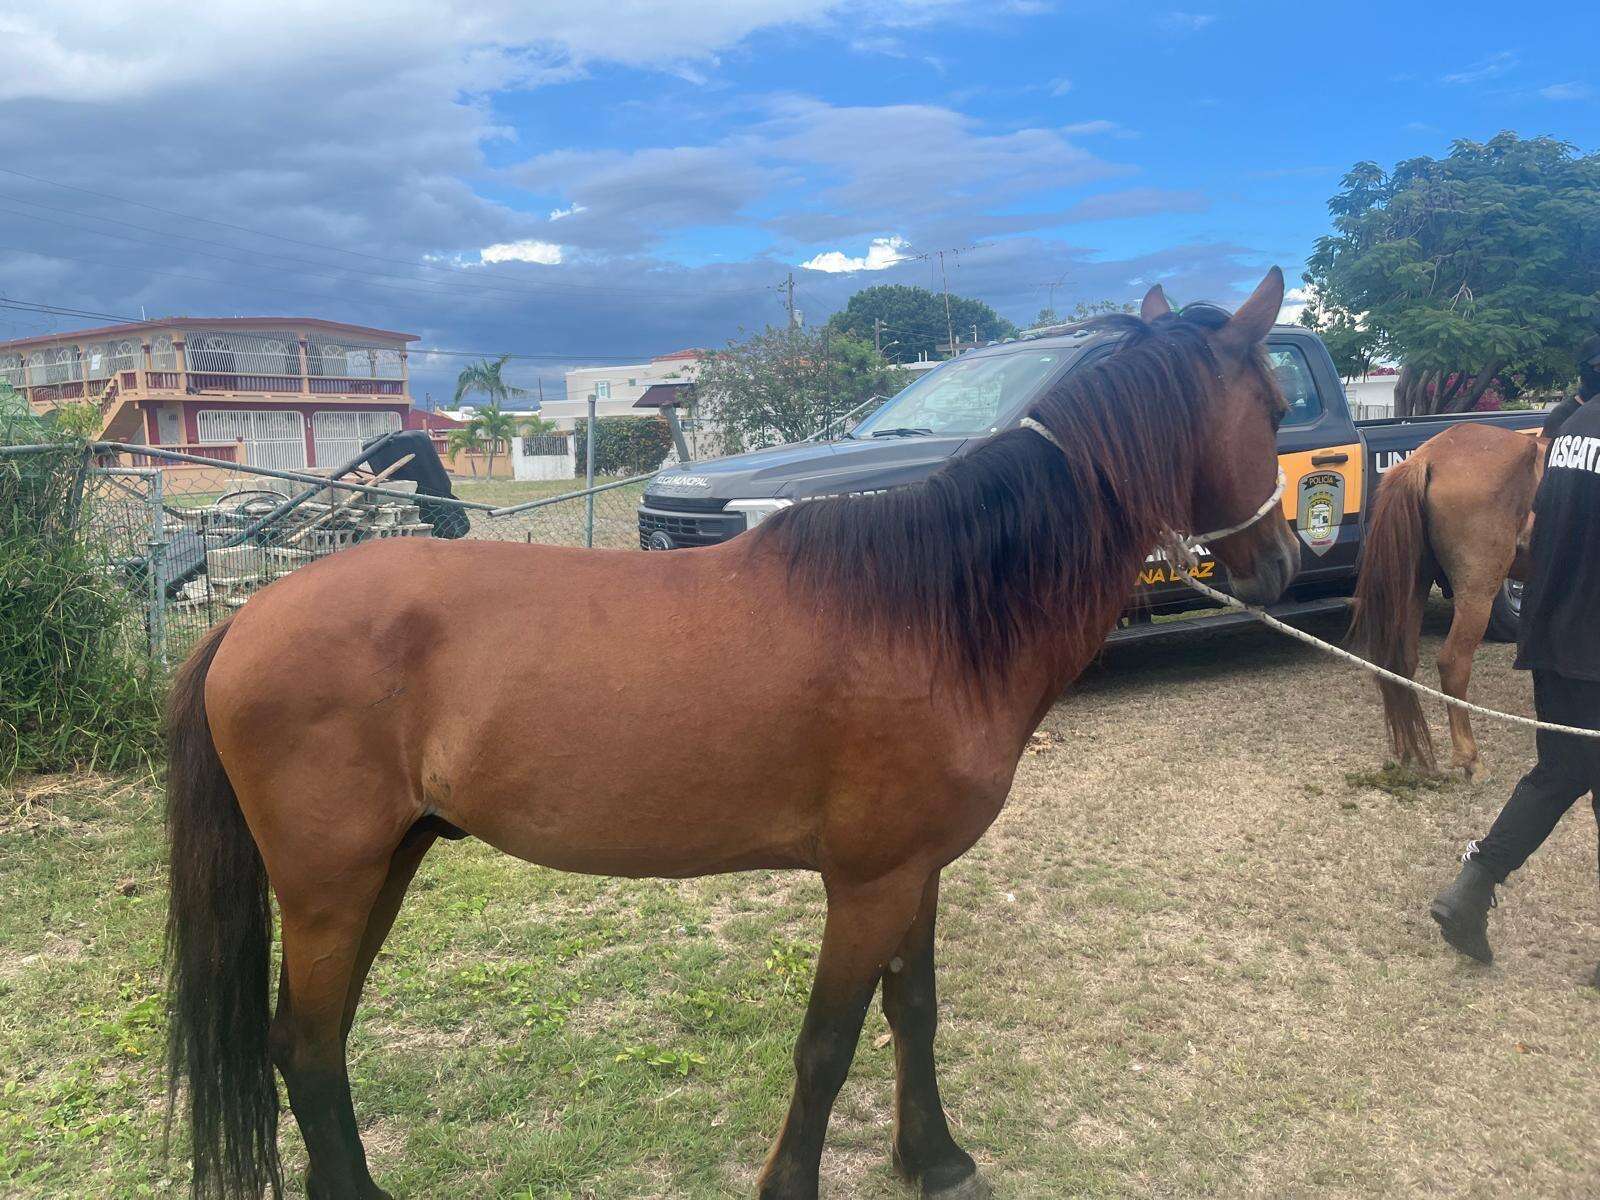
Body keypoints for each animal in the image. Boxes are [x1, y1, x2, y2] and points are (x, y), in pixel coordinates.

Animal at [163, 269, 1297, 1200]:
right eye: (1276, 407)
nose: (1283, 561)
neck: (931, 612)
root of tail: (247, 622)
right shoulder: (869, 882)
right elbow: (827, 1045)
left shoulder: (917, 872)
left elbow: (914, 1013)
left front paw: (932, 1161)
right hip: (331, 882)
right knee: (310, 1049)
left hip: (383, 866)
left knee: (309, 1042)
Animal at [1347, 422, 1544, 780]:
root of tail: (1427, 457)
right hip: (1477, 591)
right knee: (1453, 664)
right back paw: (1470, 757)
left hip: (1414, 582)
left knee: (1401, 661)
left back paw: (1408, 751)